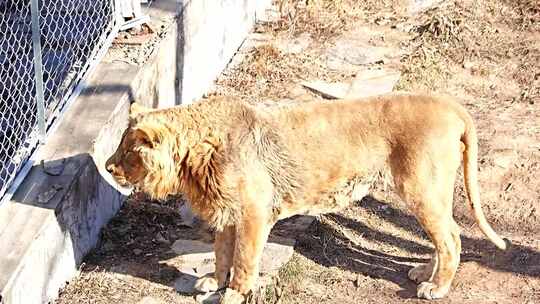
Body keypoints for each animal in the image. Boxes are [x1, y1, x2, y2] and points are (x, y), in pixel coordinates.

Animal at [105, 94, 506, 302]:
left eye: (128, 151)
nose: (107, 167)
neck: (193, 160)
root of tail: (450, 104)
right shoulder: (227, 211)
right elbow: (221, 253)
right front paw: (212, 282)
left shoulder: (253, 213)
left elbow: (244, 260)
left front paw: (233, 294)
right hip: (428, 193)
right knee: (444, 236)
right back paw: (424, 271)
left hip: (421, 188)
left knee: (451, 238)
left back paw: (435, 287)